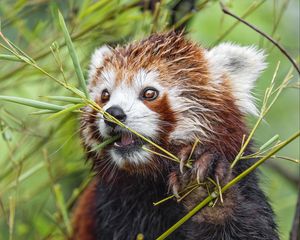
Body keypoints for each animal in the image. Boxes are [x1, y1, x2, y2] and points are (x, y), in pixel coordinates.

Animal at [72, 31, 278, 240]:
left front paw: (205, 191)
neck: (152, 183)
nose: (113, 113)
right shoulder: (112, 208)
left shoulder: (246, 181)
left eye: (149, 93)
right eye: (105, 95)